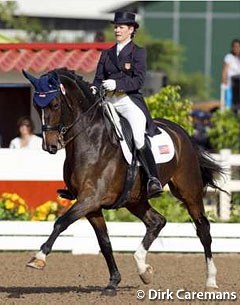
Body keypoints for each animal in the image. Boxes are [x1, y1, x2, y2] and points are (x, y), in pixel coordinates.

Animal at [23, 68, 224, 294]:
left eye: (55, 104)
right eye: (36, 106)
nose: (49, 146)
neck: (91, 140)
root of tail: (182, 133)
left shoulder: (91, 199)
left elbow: (61, 222)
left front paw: (38, 258)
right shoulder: (91, 205)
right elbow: (104, 242)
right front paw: (113, 282)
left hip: (189, 192)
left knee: (203, 229)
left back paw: (210, 281)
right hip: (134, 200)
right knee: (157, 221)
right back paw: (143, 269)